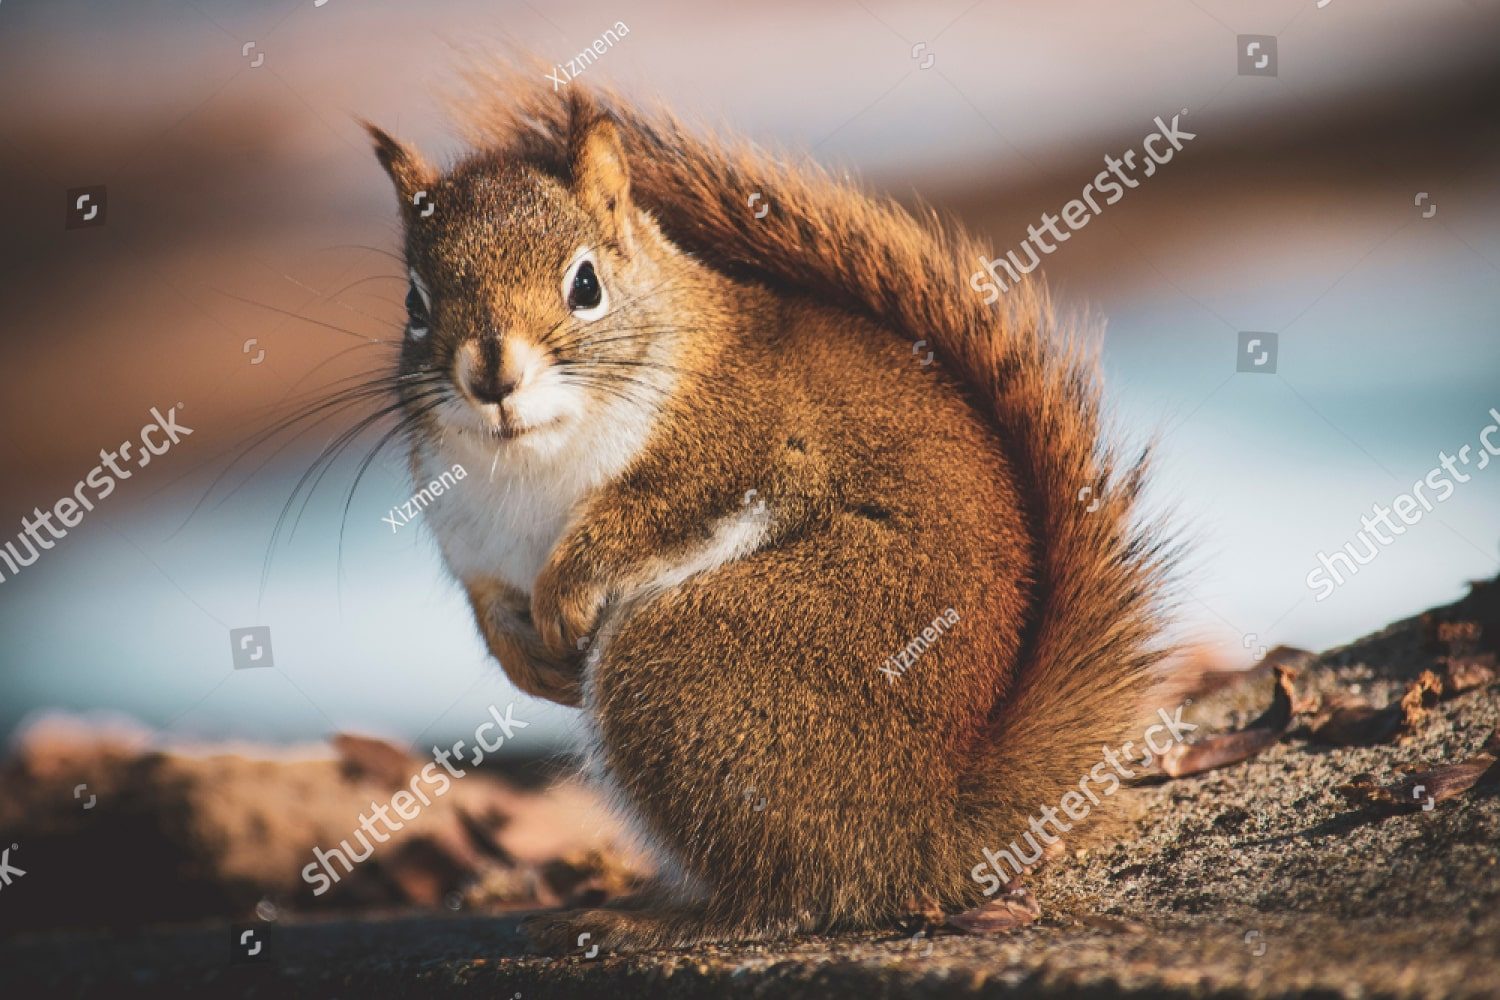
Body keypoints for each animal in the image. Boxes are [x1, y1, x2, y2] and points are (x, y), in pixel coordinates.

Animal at [363, 74, 1171, 953]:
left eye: (585, 285)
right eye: (413, 302)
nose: (492, 376)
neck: (528, 465)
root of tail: (930, 828)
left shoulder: (747, 449)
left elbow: (643, 522)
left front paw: (568, 596)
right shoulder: (475, 544)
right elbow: (490, 609)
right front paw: (533, 665)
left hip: (695, 662)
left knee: (789, 895)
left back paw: (654, 916)